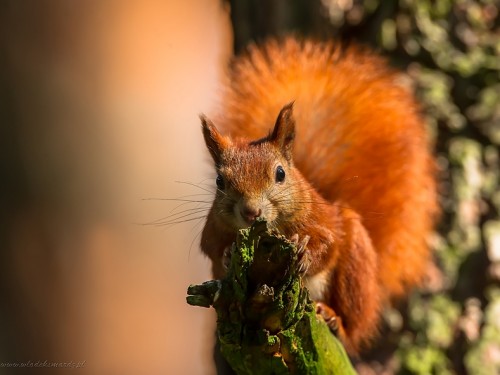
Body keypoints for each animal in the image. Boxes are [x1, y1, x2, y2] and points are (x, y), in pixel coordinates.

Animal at [199, 38, 438, 356]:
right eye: (219, 181)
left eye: (280, 174)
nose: (251, 213)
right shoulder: (212, 229)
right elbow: (212, 248)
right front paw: (227, 254)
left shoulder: (323, 221)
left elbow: (328, 245)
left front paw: (304, 253)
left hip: (355, 270)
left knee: (353, 326)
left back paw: (336, 320)